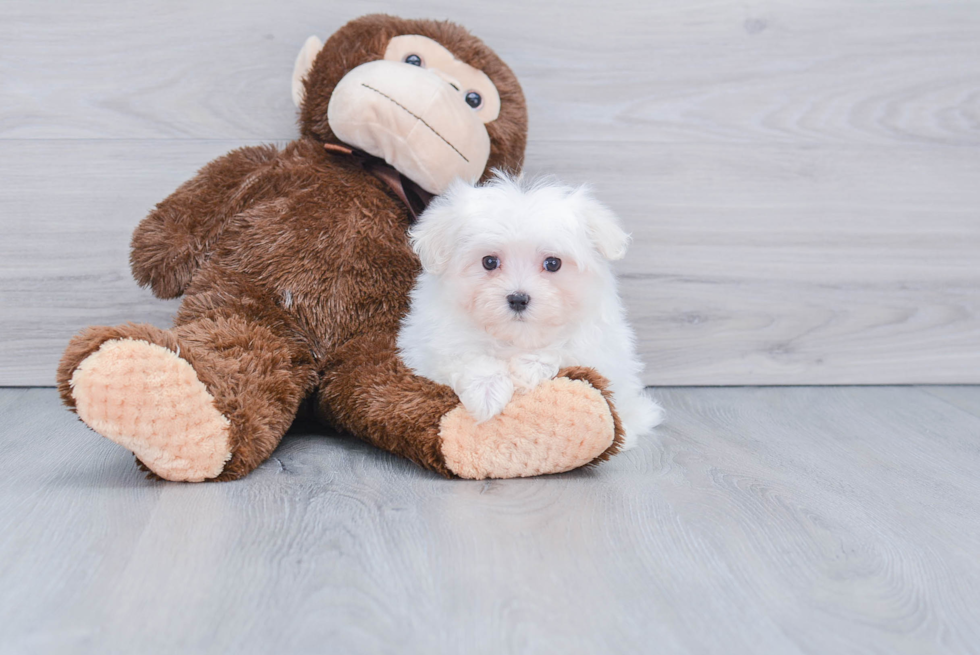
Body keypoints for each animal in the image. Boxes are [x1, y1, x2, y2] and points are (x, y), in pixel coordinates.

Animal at [398, 173, 668, 452]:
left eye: (553, 263)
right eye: (489, 262)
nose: (518, 299)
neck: (517, 337)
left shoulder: (598, 346)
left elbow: (564, 348)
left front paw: (526, 370)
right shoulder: (429, 347)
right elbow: (465, 356)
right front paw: (487, 392)